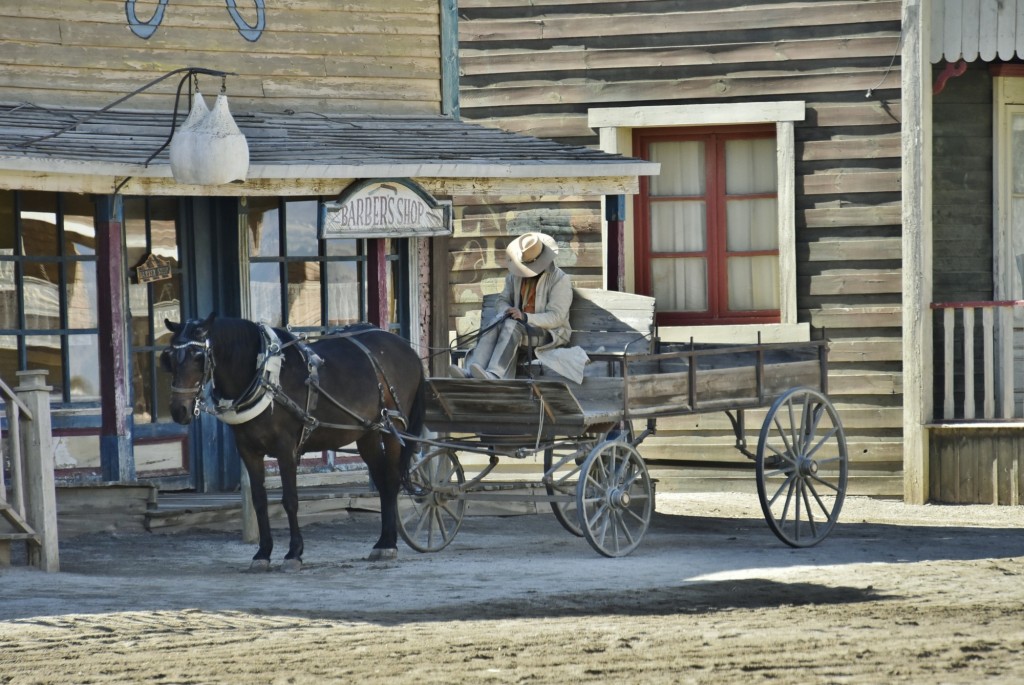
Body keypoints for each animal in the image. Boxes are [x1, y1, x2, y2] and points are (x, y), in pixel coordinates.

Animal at [161, 313, 425, 569]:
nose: (178, 410)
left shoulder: (285, 448)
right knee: (382, 483)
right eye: (170, 357)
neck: (265, 376)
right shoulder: (248, 450)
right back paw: (383, 541)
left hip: (393, 427)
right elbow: (259, 501)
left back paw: (389, 544)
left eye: (198, 357)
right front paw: (263, 553)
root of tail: (405, 346)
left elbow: (290, 500)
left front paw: (294, 552)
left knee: (392, 480)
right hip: (368, 432)